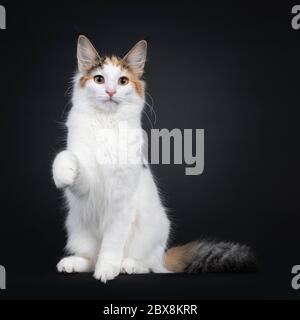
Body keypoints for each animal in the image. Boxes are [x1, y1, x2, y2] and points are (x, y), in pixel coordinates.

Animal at [52, 35, 255, 282]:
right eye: (99, 79)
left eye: (123, 81)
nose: (110, 91)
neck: (106, 125)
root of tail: (163, 255)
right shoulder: (87, 183)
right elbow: (66, 157)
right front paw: (63, 175)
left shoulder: (122, 201)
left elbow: (111, 244)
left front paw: (107, 269)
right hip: (77, 227)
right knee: (90, 258)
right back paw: (72, 263)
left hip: (152, 232)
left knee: (148, 265)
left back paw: (127, 266)